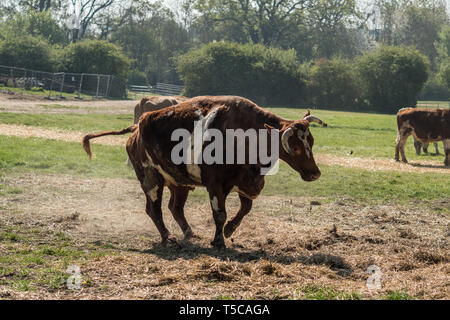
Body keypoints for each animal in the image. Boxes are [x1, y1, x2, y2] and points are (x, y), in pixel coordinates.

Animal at [82, 96, 326, 249]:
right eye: (295, 147)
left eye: (312, 142)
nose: (315, 173)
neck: (245, 135)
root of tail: (136, 128)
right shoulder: (216, 185)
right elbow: (220, 214)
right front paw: (219, 240)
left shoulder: (246, 181)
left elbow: (245, 208)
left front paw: (229, 230)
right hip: (150, 178)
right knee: (154, 209)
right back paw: (168, 237)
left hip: (179, 182)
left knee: (175, 207)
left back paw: (189, 233)